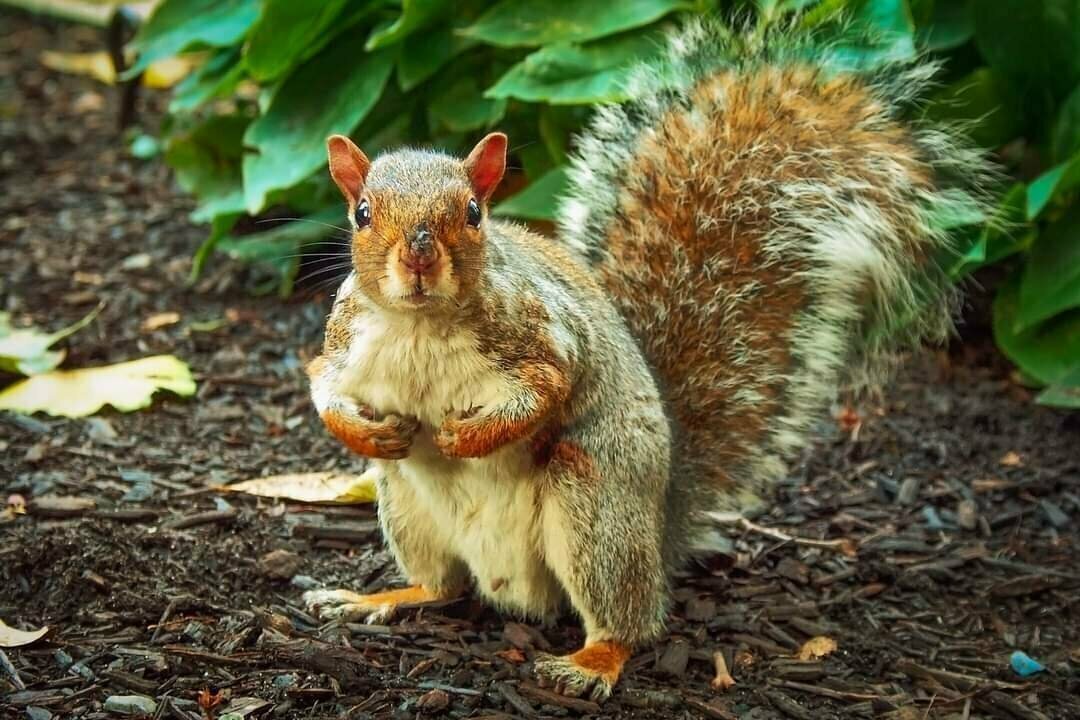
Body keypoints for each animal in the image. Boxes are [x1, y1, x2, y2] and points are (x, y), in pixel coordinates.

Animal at [302, 19, 989, 700]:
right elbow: (322, 389)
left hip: (594, 507)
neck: (419, 325)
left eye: (473, 213)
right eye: (362, 213)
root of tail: (661, 529)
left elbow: (547, 390)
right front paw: (364, 432)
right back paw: (376, 598)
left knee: (629, 619)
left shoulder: (544, 337)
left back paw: (593, 661)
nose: (419, 254)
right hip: (406, 506)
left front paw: (465, 437)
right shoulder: (343, 343)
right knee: (441, 586)